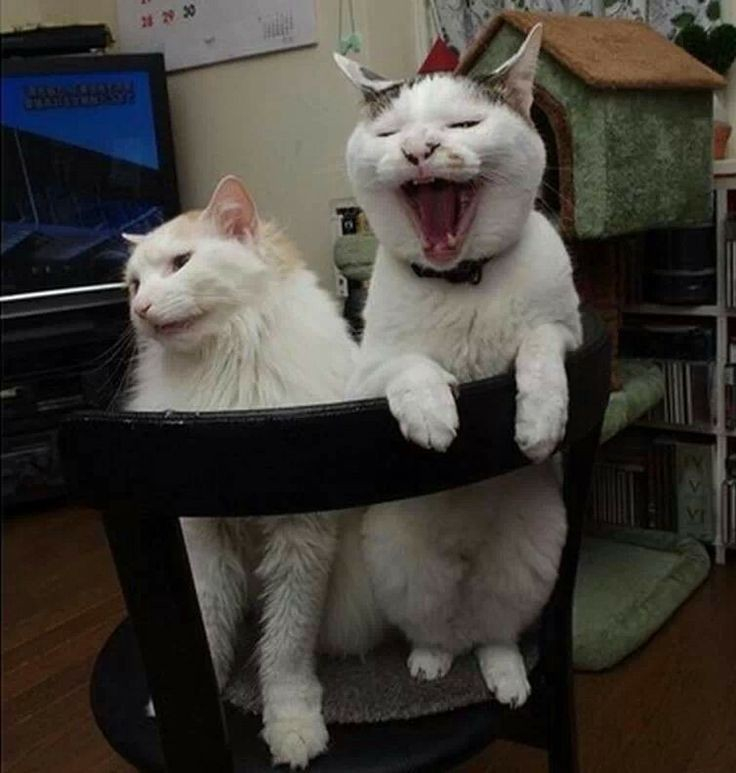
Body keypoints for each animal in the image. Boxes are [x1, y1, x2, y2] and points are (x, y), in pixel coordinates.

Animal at [124, 179, 382, 764]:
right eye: (132, 283)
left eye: (181, 263)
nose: (141, 309)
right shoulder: (204, 539)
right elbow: (209, 625)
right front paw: (191, 696)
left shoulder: (300, 539)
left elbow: (284, 649)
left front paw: (292, 727)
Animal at [336, 25, 584, 704]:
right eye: (390, 132)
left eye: (464, 124)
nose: (419, 149)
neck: (461, 282)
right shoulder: (367, 372)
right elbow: (408, 366)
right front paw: (431, 414)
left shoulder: (572, 332)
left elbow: (538, 345)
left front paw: (538, 421)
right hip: (399, 564)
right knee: (435, 629)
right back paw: (430, 660)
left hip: (532, 559)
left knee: (496, 632)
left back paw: (506, 675)